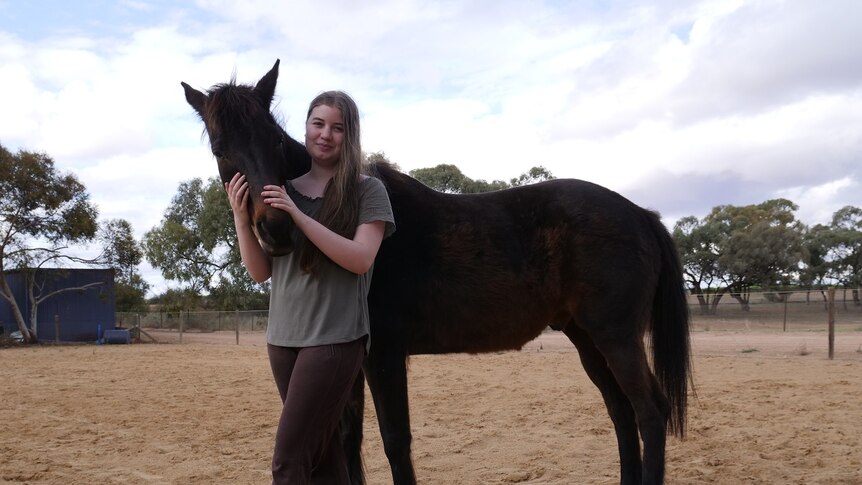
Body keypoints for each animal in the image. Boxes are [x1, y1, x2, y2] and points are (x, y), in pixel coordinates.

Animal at [182, 60, 696, 484]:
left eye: (272, 138)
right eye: (221, 150)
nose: (276, 229)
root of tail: (640, 214)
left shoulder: (384, 355)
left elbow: (396, 443)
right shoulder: (352, 362)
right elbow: (349, 439)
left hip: (616, 337)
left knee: (650, 413)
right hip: (587, 338)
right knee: (622, 412)